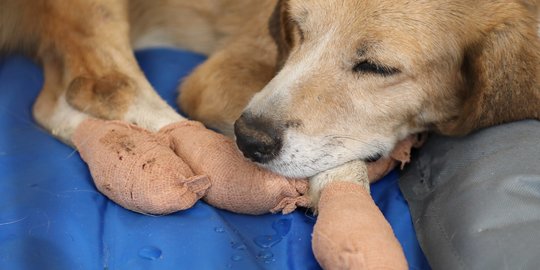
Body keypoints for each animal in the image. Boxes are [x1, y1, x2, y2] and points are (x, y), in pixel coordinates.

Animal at [0, 0, 536, 194]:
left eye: (378, 67)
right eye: (297, 27)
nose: (248, 140)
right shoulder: (217, 77)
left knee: (55, 101)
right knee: (108, 89)